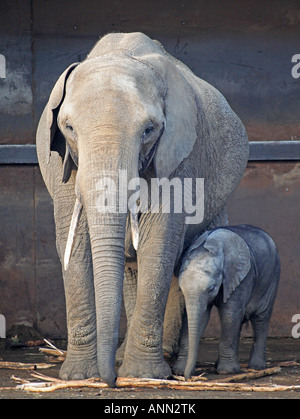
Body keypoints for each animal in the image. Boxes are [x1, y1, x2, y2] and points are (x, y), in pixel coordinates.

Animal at [36, 32, 250, 388]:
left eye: (149, 130)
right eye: (69, 128)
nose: (110, 381)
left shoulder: (179, 158)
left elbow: (159, 239)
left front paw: (142, 375)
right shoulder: (62, 164)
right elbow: (73, 242)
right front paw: (80, 375)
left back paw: (166, 360)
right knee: (131, 268)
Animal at [175, 226, 280, 380]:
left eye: (211, 288)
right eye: (181, 288)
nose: (188, 378)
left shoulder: (242, 276)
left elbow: (229, 313)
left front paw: (227, 371)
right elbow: (198, 317)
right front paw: (179, 371)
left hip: (272, 277)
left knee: (260, 318)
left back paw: (256, 367)